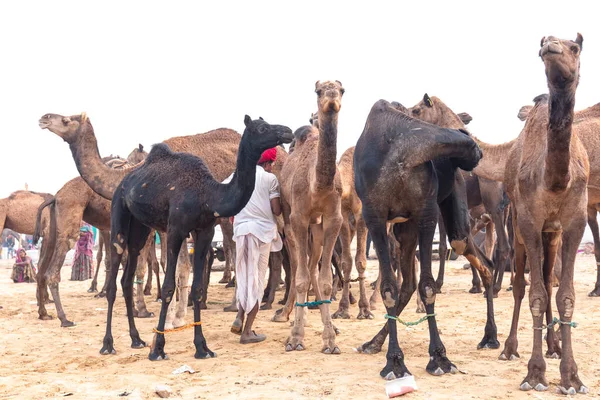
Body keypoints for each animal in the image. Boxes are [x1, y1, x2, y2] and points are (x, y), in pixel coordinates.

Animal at [99, 115, 292, 360]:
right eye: (262, 128)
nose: (287, 131)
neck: (208, 196)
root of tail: (123, 183)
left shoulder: (204, 232)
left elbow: (198, 288)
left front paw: (202, 347)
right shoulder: (175, 231)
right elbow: (169, 287)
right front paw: (158, 348)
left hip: (139, 229)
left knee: (127, 276)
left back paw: (136, 339)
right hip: (119, 213)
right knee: (114, 275)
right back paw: (108, 344)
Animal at [274, 79, 344, 354]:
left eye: (342, 90)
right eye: (318, 90)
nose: (332, 97)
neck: (318, 186)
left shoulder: (333, 218)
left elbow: (325, 279)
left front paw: (331, 340)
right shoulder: (299, 217)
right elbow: (301, 277)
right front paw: (295, 338)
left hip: (317, 227)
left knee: (312, 264)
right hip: (288, 216)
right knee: (297, 263)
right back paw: (289, 316)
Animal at [352, 98, 496, 380]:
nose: (478, 154)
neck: (400, 152)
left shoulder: (425, 211)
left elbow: (428, 286)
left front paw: (439, 357)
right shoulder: (374, 217)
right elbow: (389, 289)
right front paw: (395, 362)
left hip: (450, 224)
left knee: (480, 259)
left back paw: (491, 337)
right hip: (404, 230)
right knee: (406, 283)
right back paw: (374, 342)